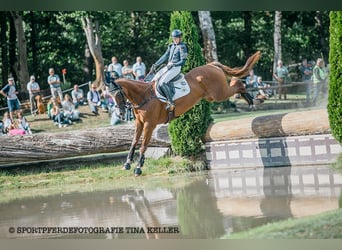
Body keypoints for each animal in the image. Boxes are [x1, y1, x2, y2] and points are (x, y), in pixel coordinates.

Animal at [113, 50, 260, 176]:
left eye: (117, 95)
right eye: (109, 95)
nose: (120, 114)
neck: (144, 96)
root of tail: (211, 65)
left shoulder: (150, 124)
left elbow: (143, 145)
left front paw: (138, 168)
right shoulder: (139, 123)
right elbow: (134, 142)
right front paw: (127, 164)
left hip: (219, 93)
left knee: (237, 82)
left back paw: (250, 101)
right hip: (212, 96)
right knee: (236, 82)